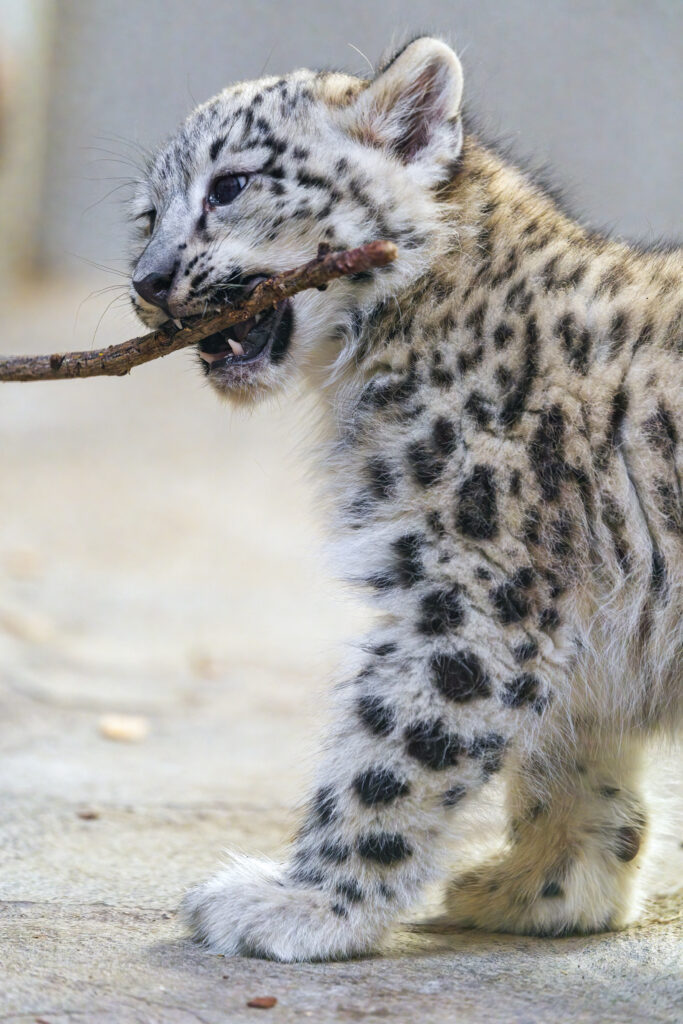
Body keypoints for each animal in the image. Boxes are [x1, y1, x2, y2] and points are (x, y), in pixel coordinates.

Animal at [128, 36, 682, 962]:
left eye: (230, 184)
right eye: (144, 216)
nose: (148, 277)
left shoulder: (472, 590)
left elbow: (391, 753)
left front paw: (303, 905)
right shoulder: (565, 609)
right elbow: (571, 752)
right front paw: (547, 887)